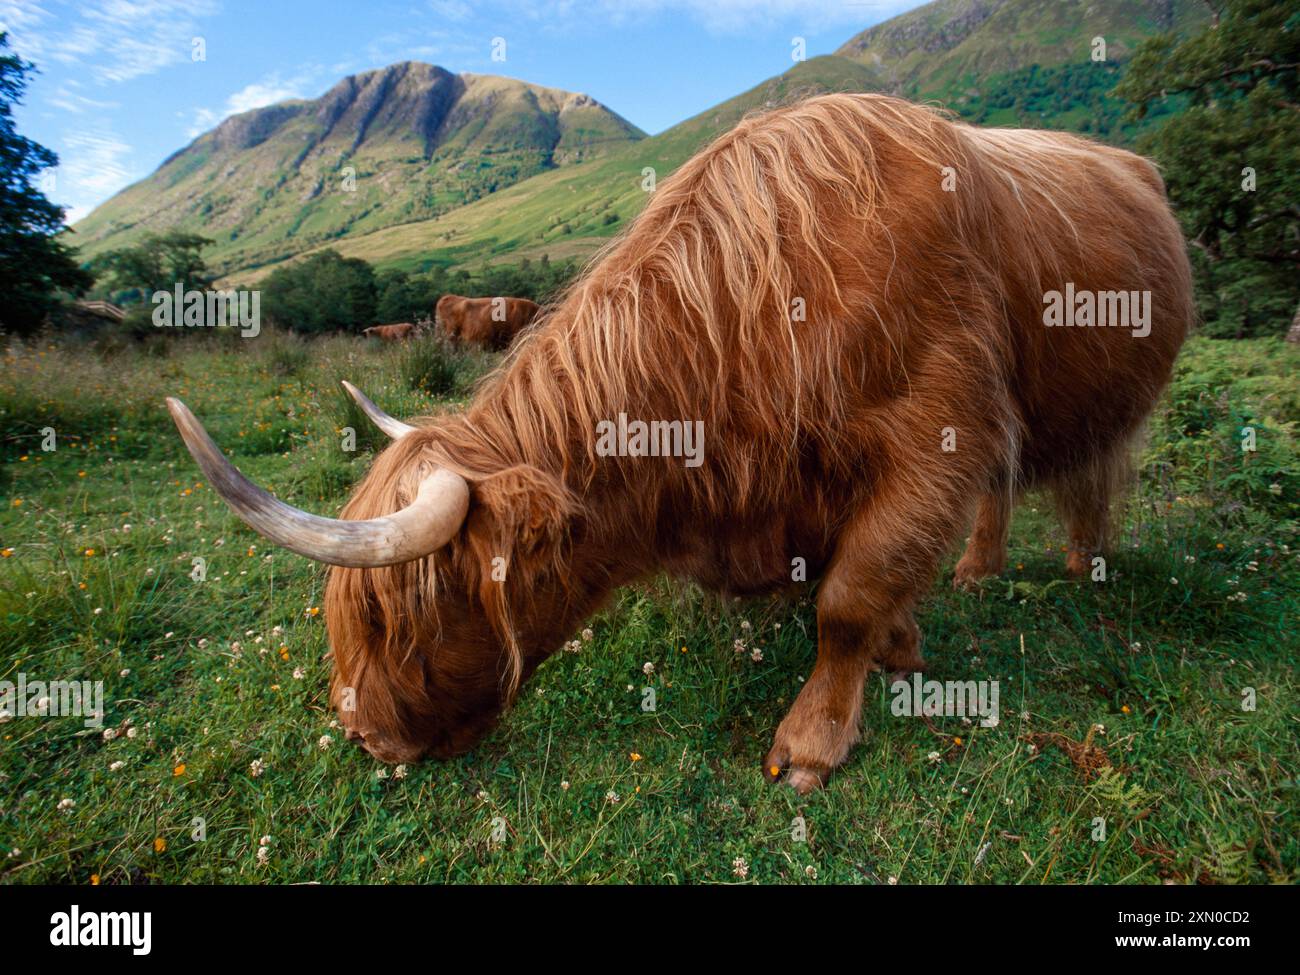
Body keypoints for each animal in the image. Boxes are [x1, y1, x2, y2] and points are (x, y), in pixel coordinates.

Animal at [167, 93, 1190, 795]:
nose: (362, 734)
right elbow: (871, 584)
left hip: (1104, 400)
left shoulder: (938, 430)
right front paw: (905, 644)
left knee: (1089, 480)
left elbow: (849, 598)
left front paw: (813, 743)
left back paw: (1080, 560)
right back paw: (980, 569)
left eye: (405, 616)